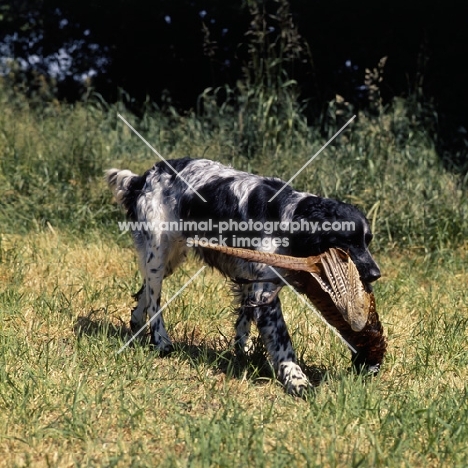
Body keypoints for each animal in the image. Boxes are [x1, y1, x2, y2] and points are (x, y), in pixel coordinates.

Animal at [107, 157, 380, 394]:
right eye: (347, 244)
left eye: (367, 241)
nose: (376, 274)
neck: (291, 216)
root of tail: (147, 175)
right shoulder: (265, 292)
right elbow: (283, 342)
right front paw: (297, 380)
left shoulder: (252, 280)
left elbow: (244, 318)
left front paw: (242, 350)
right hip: (159, 250)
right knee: (154, 299)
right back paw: (161, 340)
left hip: (171, 258)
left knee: (145, 290)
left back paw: (137, 321)